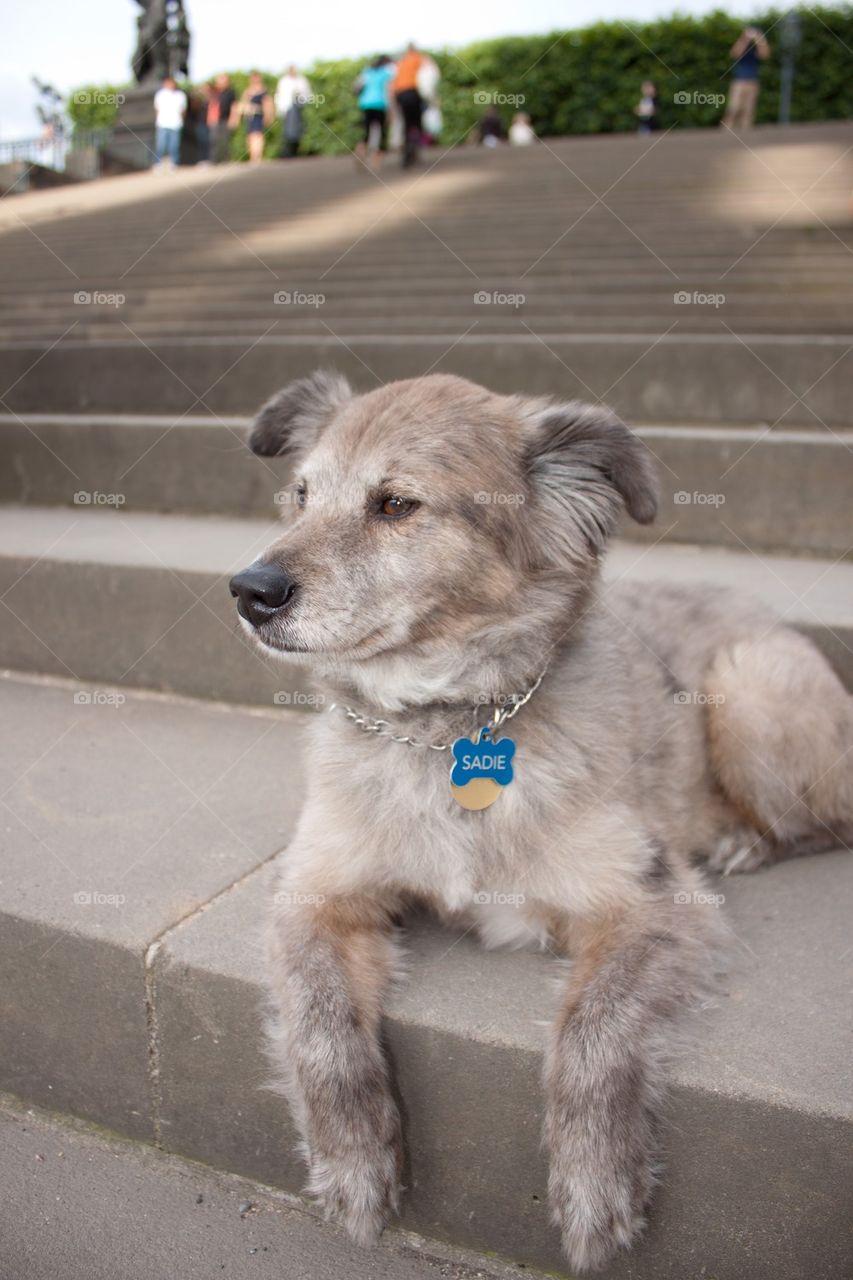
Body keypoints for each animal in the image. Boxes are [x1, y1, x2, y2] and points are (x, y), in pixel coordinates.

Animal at [227, 371, 850, 1269]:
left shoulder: (656, 906)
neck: (446, 726)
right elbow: (318, 1023)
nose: (249, 591)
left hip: (746, 686)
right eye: (301, 495)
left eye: (396, 504)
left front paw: (593, 1188)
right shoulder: (312, 893)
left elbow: (592, 1031)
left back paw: (742, 841)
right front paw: (352, 1164)